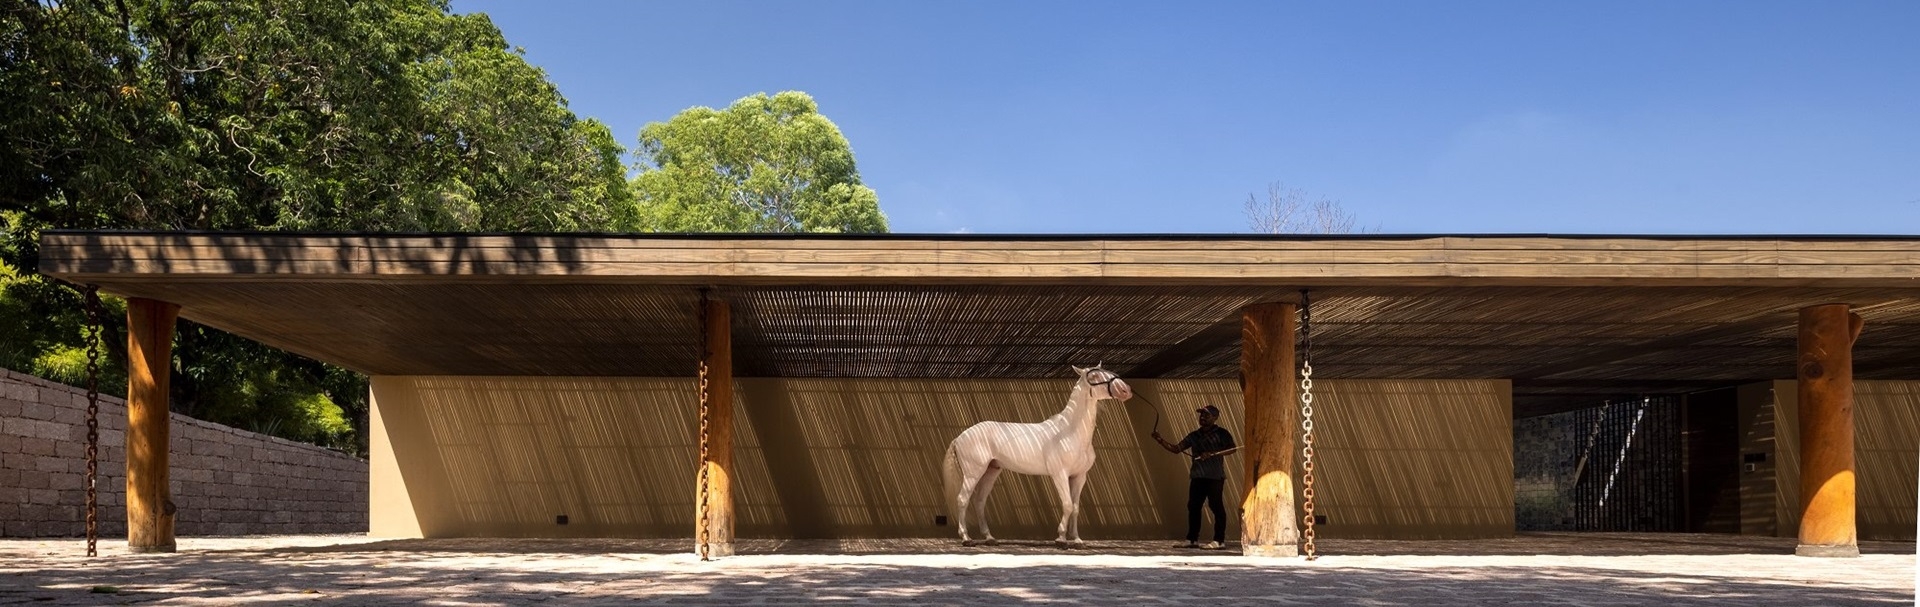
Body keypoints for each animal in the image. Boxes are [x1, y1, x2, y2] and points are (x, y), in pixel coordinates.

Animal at [940, 366, 1128, 549]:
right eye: (1094, 376)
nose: (1125, 390)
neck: (1069, 432)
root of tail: (960, 436)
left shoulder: (1080, 476)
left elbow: (1075, 507)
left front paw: (1077, 540)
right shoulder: (1060, 474)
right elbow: (1067, 504)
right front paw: (1061, 539)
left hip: (991, 471)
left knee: (979, 501)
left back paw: (989, 538)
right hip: (973, 473)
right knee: (963, 499)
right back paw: (966, 538)